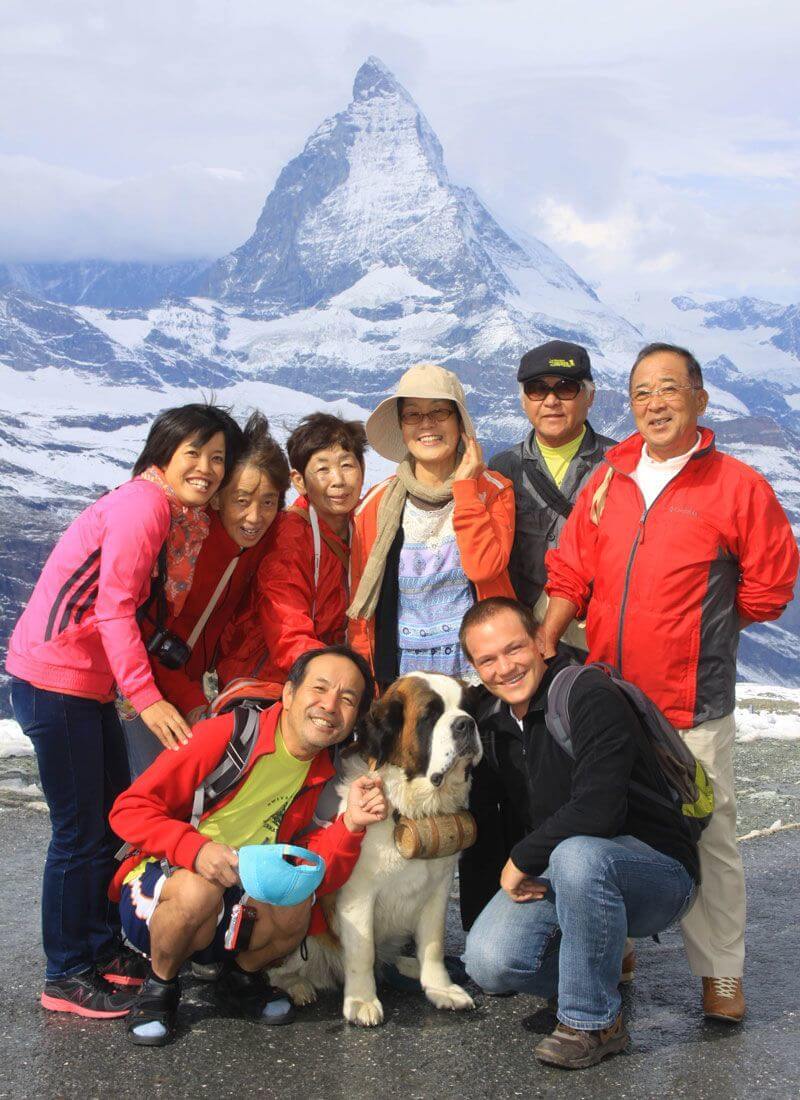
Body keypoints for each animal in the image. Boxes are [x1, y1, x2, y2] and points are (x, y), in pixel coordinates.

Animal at [269, 668, 481, 1029]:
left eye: (467, 708)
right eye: (430, 715)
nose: (466, 723)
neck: (408, 809)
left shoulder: (438, 888)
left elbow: (434, 942)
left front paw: (440, 988)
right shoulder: (357, 896)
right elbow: (363, 950)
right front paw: (362, 1001)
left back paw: (407, 964)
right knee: (278, 971)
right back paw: (298, 986)